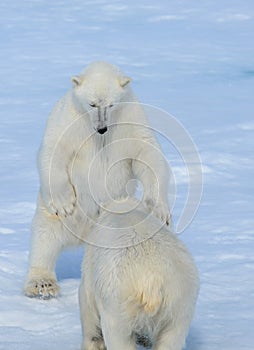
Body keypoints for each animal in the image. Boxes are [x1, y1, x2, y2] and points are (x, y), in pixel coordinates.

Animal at [24, 60, 171, 298]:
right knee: (44, 238)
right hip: (54, 218)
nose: (102, 128)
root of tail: (83, 235)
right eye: (92, 104)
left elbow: (147, 152)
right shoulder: (68, 119)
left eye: (111, 105)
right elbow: (53, 150)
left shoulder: (130, 117)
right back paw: (42, 284)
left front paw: (158, 209)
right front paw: (65, 203)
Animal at [79, 198, 198, 350]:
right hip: (179, 300)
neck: (123, 210)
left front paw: (92, 343)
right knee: (171, 338)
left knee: (118, 337)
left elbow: (86, 304)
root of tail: (152, 281)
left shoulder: (90, 266)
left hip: (118, 303)